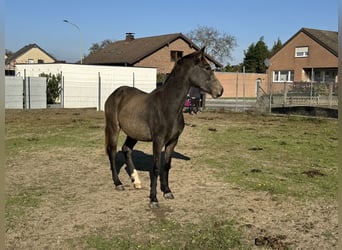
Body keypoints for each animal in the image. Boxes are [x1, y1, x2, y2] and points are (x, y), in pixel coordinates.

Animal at [104, 47, 223, 208]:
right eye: (207, 68)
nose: (220, 91)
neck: (167, 105)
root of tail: (115, 93)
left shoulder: (172, 141)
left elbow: (166, 166)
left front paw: (167, 191)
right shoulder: (158, 141)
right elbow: (155, 168)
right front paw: (153, 199)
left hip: (133, 133)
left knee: (126, 149)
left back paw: (136, 181)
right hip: (114, 127)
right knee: (112, 151)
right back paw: (118, 183)